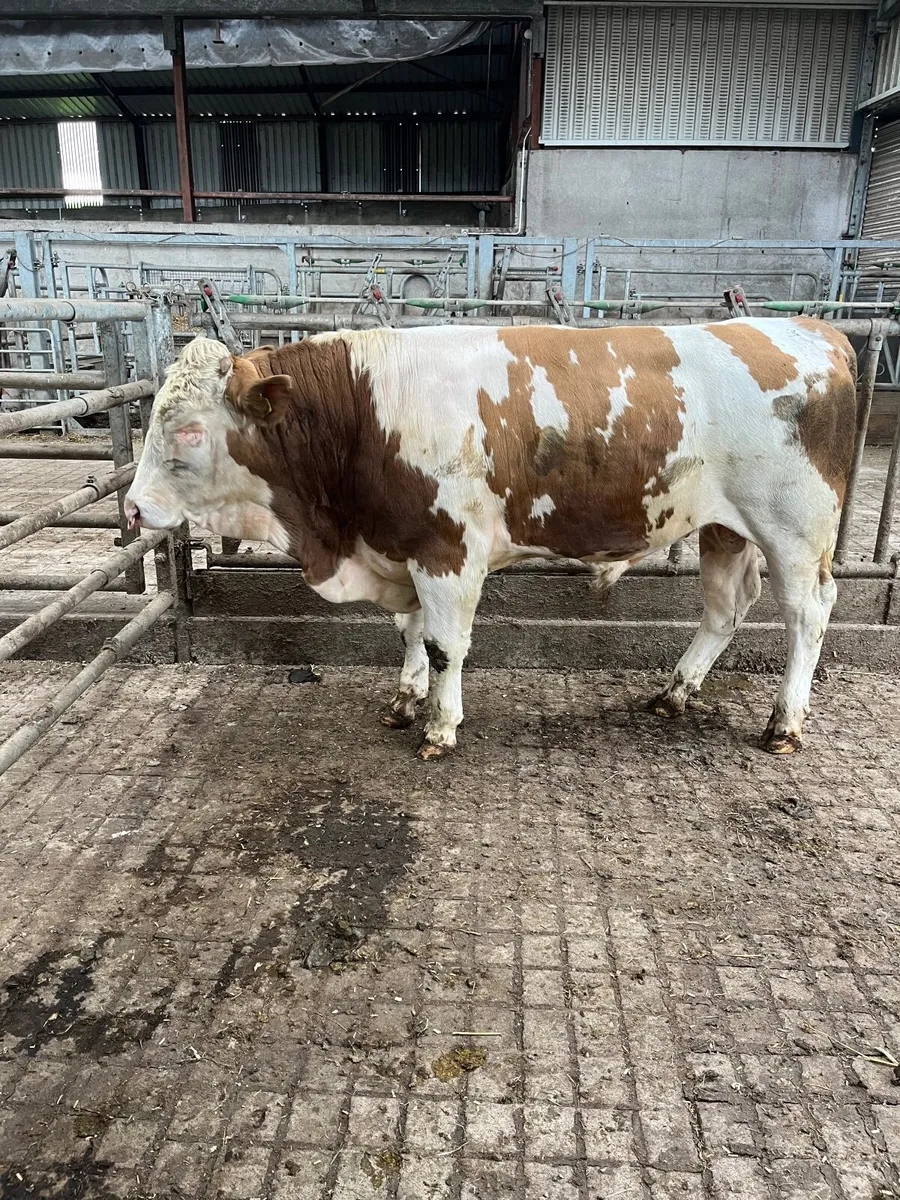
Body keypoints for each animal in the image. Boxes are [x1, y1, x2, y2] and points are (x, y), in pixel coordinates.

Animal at [125, 318, 857, 761]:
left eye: (188, 430)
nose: (131, 508)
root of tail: (816, 330)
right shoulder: (403, 545)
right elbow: (410, 632)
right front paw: (405, 699)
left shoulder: (447, 550)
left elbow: (446, 644)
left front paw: (440, 726)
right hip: (723, 529)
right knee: (724, 609)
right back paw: (674, 693)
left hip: (795, 530)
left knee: (808, 613)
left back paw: (784, 722)